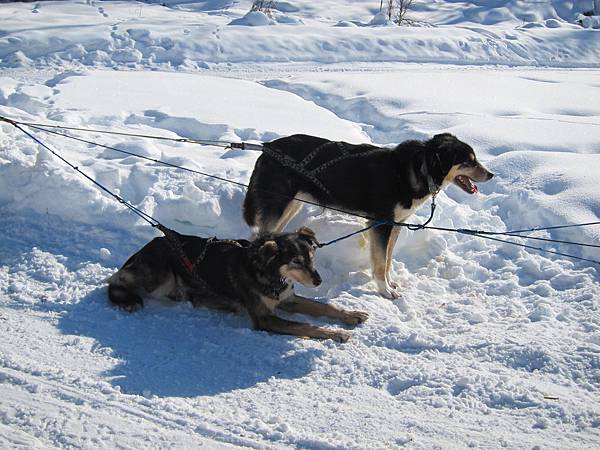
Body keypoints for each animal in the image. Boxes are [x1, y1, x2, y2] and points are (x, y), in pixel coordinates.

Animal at [109, 227, 370, 342]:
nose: (318, 280)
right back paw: (125, 298)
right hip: (160, 276)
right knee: (115, 279)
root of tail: (145, 247)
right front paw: (333, 332)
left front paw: (350, 315)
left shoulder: (288, 299)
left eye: (311, 257)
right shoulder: (264, 318)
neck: (266, 272)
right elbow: (304, 325)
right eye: (295, 261)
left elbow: (326, 307)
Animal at [241, 133, 494, 298]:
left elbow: (388, 260)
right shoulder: (381, 224)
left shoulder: (396, 224)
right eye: (469, 160)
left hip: (291, 204)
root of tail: (267, 147)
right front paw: (385, 291)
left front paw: (390, 284)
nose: (491, 174)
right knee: (260, 236)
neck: (416, 170)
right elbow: (380, 263)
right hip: (278, 204)